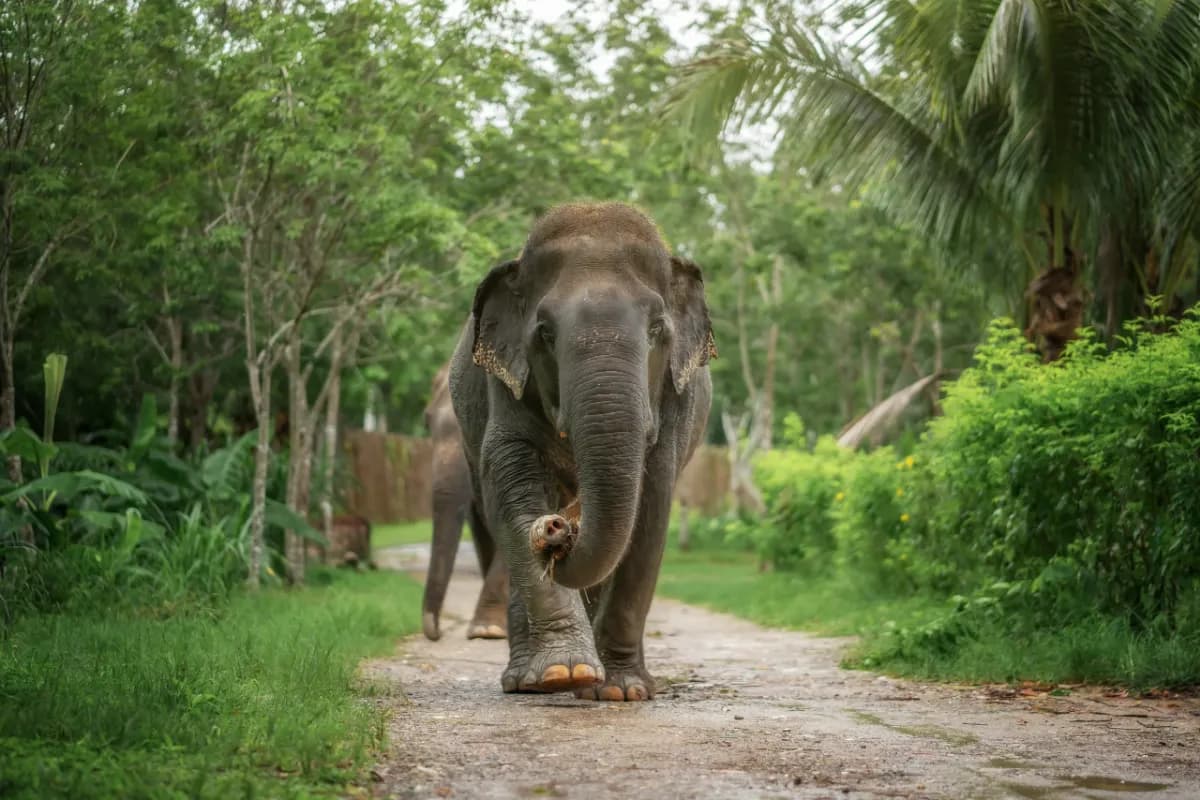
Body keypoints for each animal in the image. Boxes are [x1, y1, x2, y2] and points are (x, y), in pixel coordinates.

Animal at [448, 202, 715, 700]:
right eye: (546, 333)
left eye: (656, 329)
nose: (558, 527)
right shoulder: (505, 383)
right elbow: (510, 481)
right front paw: (565, 673)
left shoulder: (675, 400)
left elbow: (651, 507)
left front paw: (619, 690)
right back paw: (526, 682)